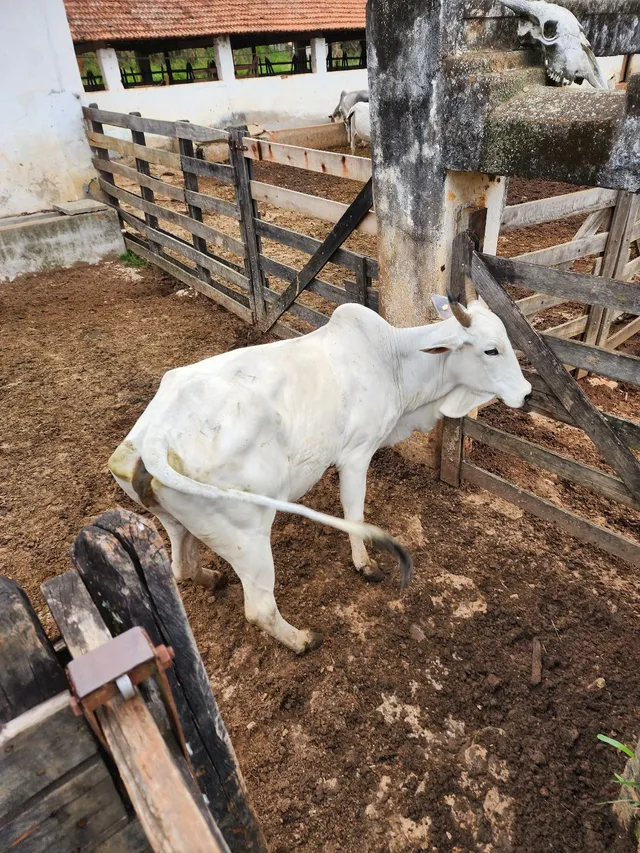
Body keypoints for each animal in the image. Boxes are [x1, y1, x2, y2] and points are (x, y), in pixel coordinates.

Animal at [109, 294, 531, 654]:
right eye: (491, 349)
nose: (527, 394)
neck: (393, 360)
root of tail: (158, 435)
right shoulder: (357, 455)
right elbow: (354, 513)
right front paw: (364, 564)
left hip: (175, 521)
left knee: (182, 567)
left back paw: (212, 578)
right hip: (247, 535)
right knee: (259, 608)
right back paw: (302, 640)